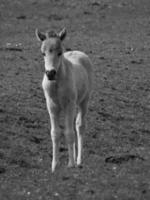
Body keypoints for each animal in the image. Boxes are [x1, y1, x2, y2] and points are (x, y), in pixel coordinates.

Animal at [35, 27, 92, 172]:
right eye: (43, 53)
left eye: (60, 53)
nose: (50, 73)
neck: (56, 83)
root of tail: (78, 52)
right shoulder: (52, 106)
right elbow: (55, 133)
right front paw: (54, 166)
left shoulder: (69, 105)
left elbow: (69, 132)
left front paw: (70, 164)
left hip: (84, 101)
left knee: (79, 126)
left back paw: (78, 161)